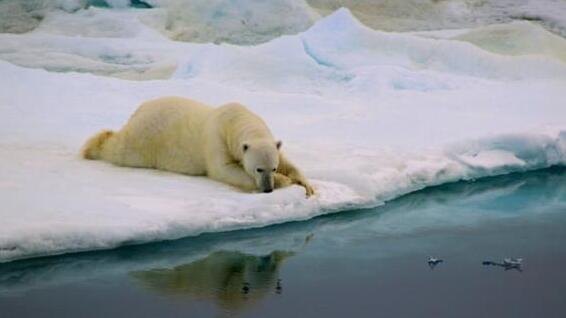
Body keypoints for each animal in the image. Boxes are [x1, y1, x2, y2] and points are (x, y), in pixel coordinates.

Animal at [82, 96, 318, 196]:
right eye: (259, 169)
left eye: (273, 167)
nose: (268, 189)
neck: (235, 120)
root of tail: (138, 110)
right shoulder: (216, 139)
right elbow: (223, 170)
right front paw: (285, 181)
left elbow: (288, 161)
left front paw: (307, 185)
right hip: (145, 139)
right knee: (119, 149)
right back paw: (92, 147)